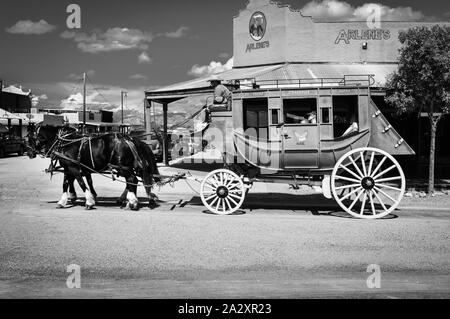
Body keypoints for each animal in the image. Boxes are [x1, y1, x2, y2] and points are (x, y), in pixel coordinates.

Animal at [28, 126, 160, 211]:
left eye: (29, 137)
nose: (29, 153)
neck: (64, 142)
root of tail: (128, 139)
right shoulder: (68, 168)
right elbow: (66, 184)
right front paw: (63, 201)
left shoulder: (73, 167)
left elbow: (81, 182)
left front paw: (89, 201)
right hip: (125, 167)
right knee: (132, 181)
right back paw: (131, 201)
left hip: (122, 167)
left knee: (132, 179)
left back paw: (132, 202)